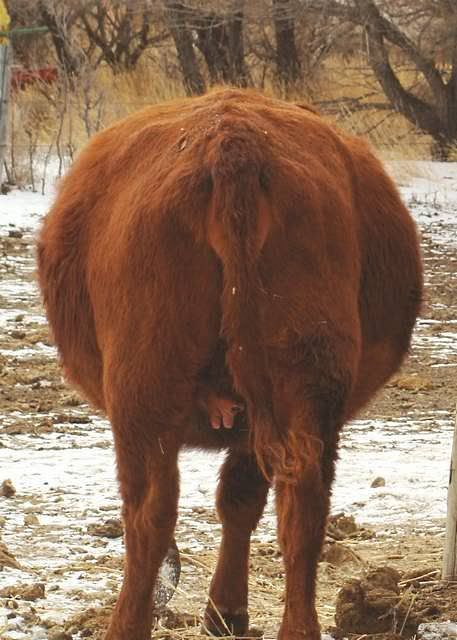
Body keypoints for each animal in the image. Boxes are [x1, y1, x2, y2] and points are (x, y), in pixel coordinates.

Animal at [37, 88, 422, 640]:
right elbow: (241, 500)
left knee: (149, 512)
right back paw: (299, 628)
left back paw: (126, 624)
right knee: (303, 501)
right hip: (304, 383)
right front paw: (228, 611)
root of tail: (233, 144)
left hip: (143, 392)